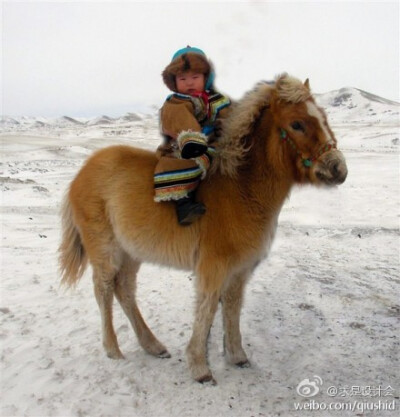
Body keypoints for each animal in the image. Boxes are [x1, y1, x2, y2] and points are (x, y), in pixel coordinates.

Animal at [58, 73, 346, 382]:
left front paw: (237, 356)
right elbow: (207, 308)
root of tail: (82, 173)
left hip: (131, 252)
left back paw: (153, 345)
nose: (338, 169)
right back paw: (113, 350)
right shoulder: (213, 267)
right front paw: (199, 366)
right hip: (105, 250)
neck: (241, 189)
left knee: (124, 290)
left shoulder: (240, 270)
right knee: (103, 290)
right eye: (297, 124)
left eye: (324, 117)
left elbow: (232, 307)